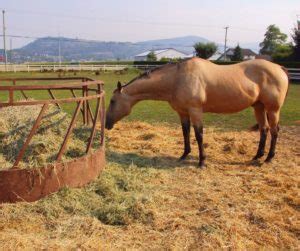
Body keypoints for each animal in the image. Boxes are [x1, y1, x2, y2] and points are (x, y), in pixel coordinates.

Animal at [105, 58, 288, 168]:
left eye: (112, 101)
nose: (106, 123)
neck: (177, 79)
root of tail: (279, 68)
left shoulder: (195, 111)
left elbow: (199, 135)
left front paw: (202, 161)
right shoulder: (183, 112)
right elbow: (185, 132)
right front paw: (184, 155)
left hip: (272, 109)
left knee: (274, 131)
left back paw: (269, 158)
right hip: (259, 107)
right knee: (264, 130)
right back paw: (257, 156)